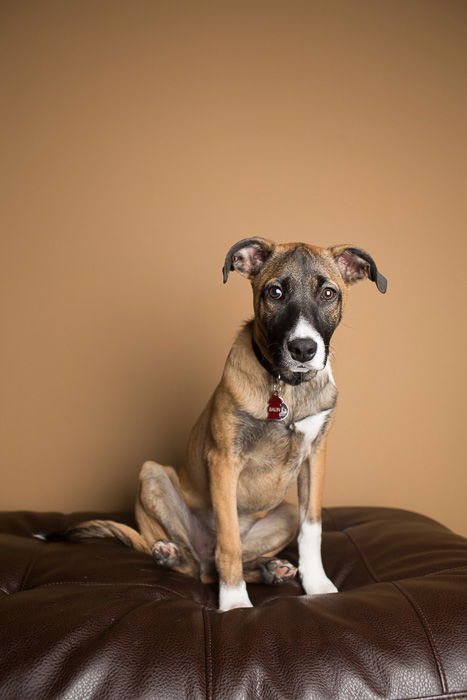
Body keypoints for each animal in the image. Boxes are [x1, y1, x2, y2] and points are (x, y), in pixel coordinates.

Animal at [55, 238, 388, 608]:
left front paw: (317, 585)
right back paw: (169, 553)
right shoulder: (224, 460)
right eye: (274, 292)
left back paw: (271, 570)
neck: (286, 386)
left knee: (230, 559)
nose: (303, 349)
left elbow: (311, 528)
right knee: (200, 563)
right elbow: (228, 542)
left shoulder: (315, 456)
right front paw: (234, 603)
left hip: (285, 512)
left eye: (328, 293)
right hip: (152, 474)